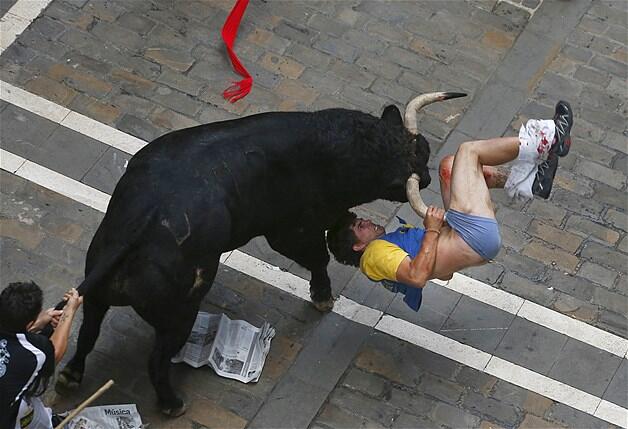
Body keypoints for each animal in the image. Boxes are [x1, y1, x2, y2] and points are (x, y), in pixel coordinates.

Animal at [54, 91, 464, 414]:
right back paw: (172, 403)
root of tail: (140, 224)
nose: (428, 178)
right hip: (180, 313)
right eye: (410, 170)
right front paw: (322, 296)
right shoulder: (290, 229)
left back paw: (70, 376)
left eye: (424, 149)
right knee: (155, 360)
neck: (337, 147)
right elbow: (317, 257)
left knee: (88, 329)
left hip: (98, 290)